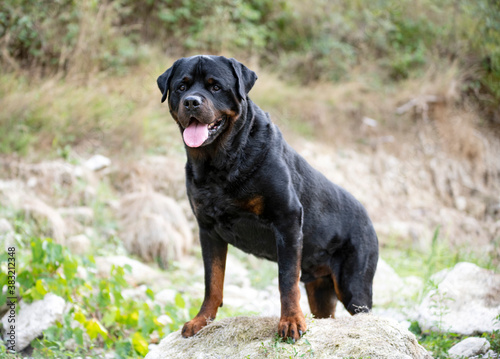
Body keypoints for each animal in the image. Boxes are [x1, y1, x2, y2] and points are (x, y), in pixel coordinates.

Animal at [157, 54, 378, 342]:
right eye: (181, 87)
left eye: (215, 87)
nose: (192, 101)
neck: (220, 163)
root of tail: (369, 218)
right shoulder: (208, 230)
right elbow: (212, 281)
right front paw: (201, 320)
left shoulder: (287, 218)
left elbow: (286, 279)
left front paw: (291, 321)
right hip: (321, 289)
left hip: (354, 286)